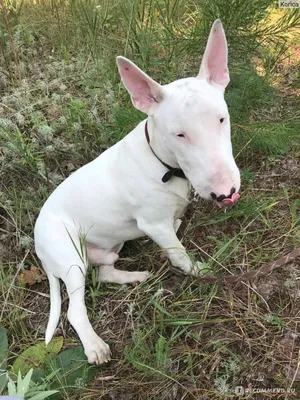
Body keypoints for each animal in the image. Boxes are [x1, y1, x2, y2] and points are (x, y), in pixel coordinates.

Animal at [34, 19, 241, 366]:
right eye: (179, 134)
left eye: (222, 119)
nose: (226, 193)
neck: (164, 163)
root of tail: (36, 241)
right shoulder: (153, 224)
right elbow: (178, 253)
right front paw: (198, 271)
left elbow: (174, 234)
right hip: (71, 257)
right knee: (75, 309)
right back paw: (95, 346)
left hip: (110, 246)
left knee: (104, 272)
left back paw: (134, 277)